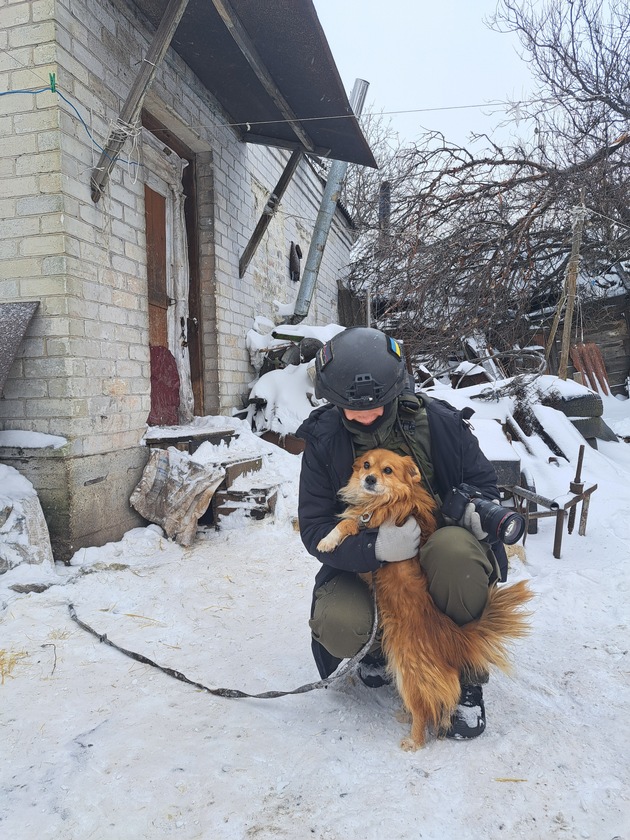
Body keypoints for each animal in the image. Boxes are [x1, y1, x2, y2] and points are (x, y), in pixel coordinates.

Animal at [320, 450, 532, 752]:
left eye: (387, 470)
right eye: (366, 465)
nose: (369, 479)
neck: (386, 499)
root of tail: (450, 633)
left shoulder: (370, 524)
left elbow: (347, 522)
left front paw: (327, 541)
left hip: (408, 671)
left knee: (424, 710)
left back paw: (414, 740)